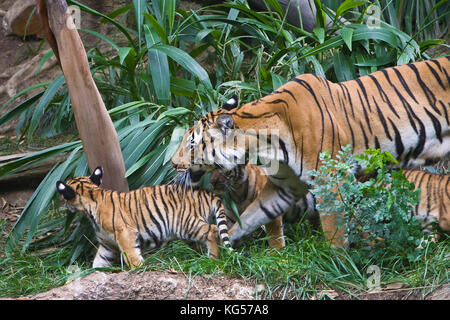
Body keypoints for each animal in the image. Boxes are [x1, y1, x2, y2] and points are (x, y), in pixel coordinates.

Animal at [56, 165, 232, 268]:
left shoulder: (125, 233)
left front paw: (137, 269)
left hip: (186, 224)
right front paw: (94, 275)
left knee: (213, 230)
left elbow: (131, 254)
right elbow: (99, 261)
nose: (61, 203)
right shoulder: (107, 244)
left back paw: (213, 259)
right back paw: (199, 258)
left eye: (63, 195)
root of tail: (206, 192)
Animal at [171, 57, 448, 248]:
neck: (266, 146)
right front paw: (224, 243)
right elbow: (251, 216)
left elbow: (335, 233)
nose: (172, 164)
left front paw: (340, 269)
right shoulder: (285, 186)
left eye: (191, 144)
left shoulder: (331, 181)